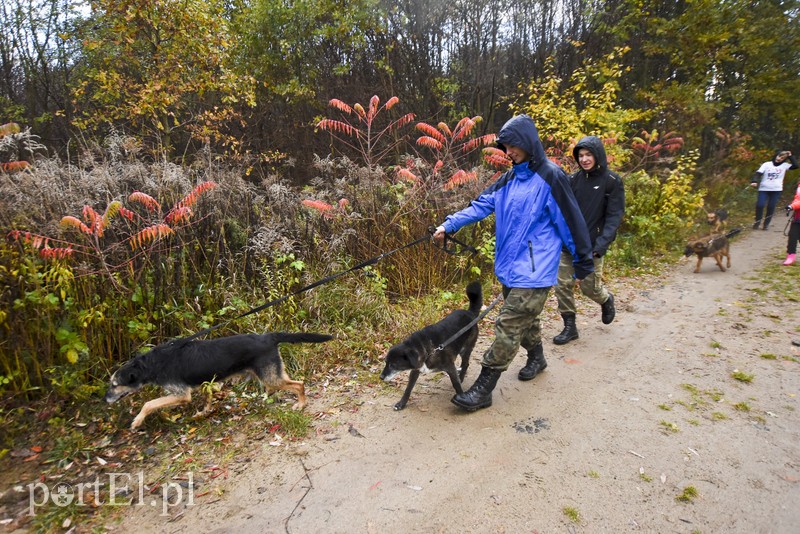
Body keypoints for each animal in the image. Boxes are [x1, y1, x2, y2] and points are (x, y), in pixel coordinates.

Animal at [104, 332, 332, 434]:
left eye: (114, 384)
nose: (105, 399)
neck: (150, 364)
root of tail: (268, 336)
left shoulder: (181, 394)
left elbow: (148, 404)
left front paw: (137, 421)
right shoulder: (205, 382)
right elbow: (207, 399)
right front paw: (203, 412)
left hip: (271, 377)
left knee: (299, 383)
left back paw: (301, 404)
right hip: (271, 376)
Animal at [380, 282, 484, 412]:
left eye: (393, 365)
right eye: (385, 362)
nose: (381, 377)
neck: (426, 349)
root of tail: (470, 313)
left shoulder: (450, 367)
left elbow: (456, 385)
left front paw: (462, 397)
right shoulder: (415, 370)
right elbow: (408, 389)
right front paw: (401, 403)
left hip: (466, 349)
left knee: (465, 364)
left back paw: (461, 378)